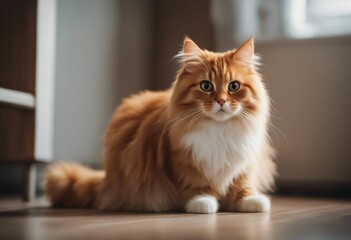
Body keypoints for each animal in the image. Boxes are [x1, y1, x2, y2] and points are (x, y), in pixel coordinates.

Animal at [43, 37, 276, 214]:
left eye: (234, 86)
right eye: (206, 86)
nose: (221, 101)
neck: (220, 130)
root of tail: (106, 180)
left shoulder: (244, 163)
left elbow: (242, 186)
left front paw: (251, 201)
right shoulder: (182, 162)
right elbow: (198, 186)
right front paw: (203, 202)